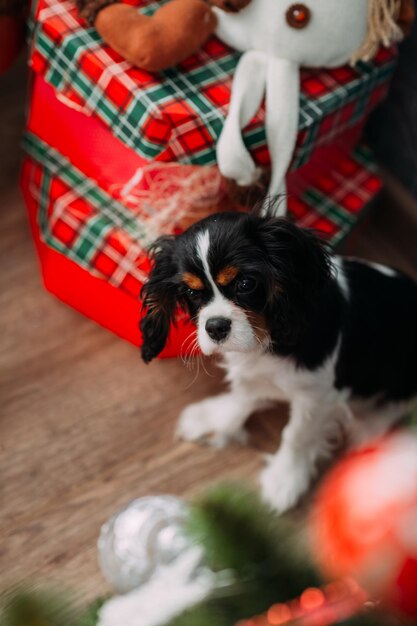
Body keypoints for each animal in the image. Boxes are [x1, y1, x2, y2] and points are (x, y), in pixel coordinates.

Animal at [139, 212, 416, 510]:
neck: (268, 338)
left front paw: (285, 479)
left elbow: (296, 435)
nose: (215, 327)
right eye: (191, 293)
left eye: (245, 284)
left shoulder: (317, 396)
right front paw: (214, 418)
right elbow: (242, 396)